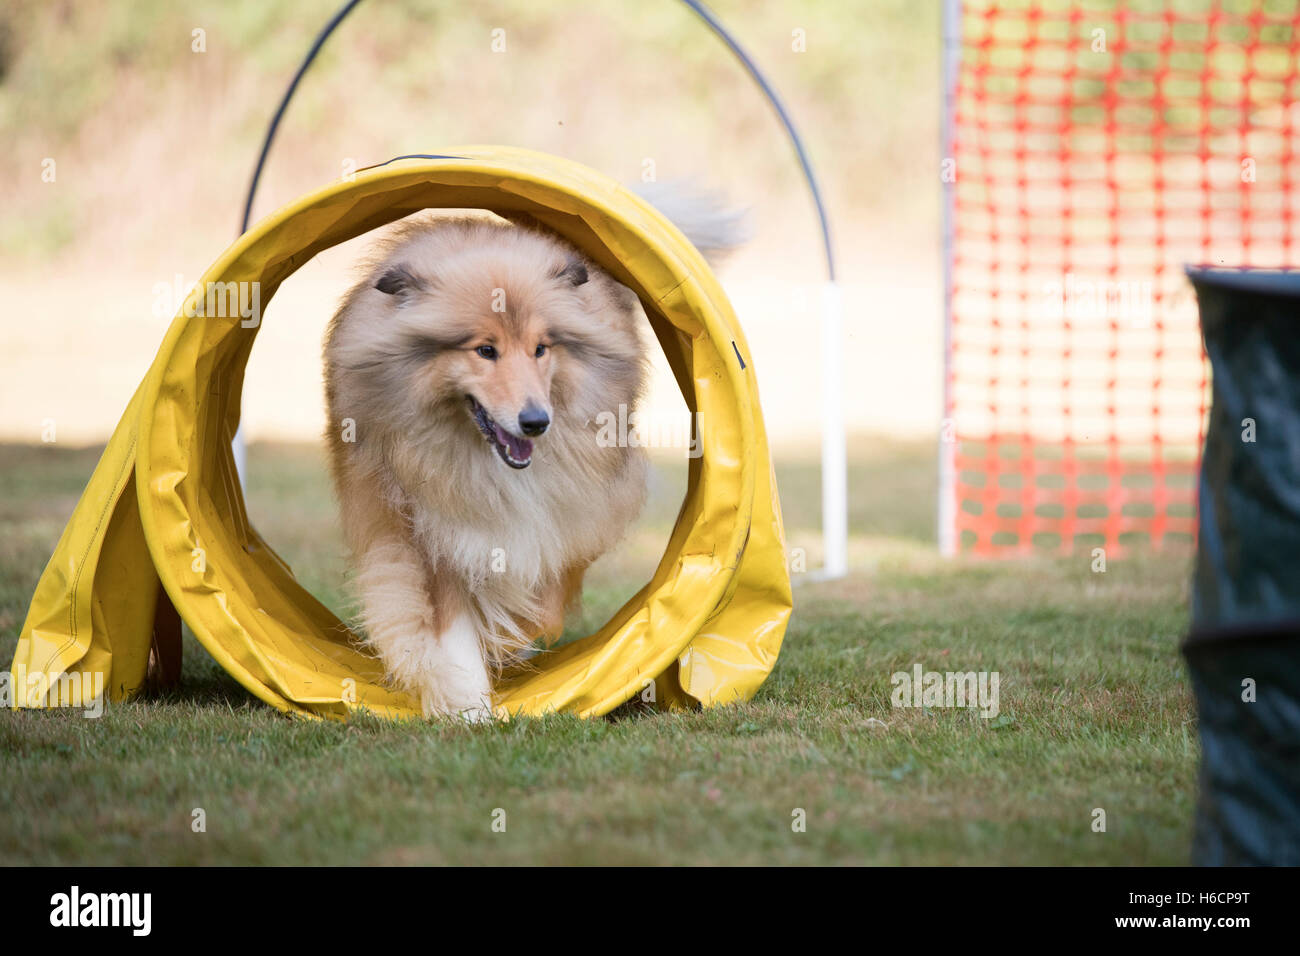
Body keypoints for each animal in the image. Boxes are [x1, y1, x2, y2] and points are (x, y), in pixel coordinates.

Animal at [322, 184, 743, 717]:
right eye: (485, 350)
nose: (536, 422)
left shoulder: (569, 514)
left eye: (542, 347)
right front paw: (468, 706)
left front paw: (506, 644)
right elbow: (450, 628)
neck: (490, 463)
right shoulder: (430, 529)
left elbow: (541, 595)